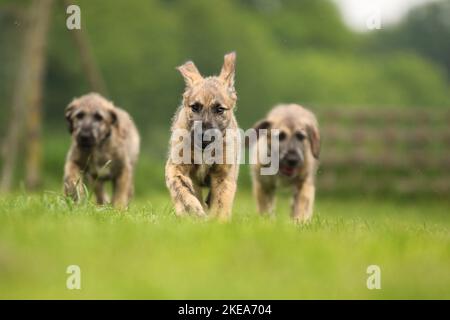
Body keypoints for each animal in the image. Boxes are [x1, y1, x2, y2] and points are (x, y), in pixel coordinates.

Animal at [165, 52, 241, 220]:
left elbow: (221, 202)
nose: (204, 136)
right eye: (195, 107)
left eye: (219, 109)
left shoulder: (224, 174)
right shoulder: (176, 166)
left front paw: (217, 222)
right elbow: (180, 188)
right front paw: (191, 210)